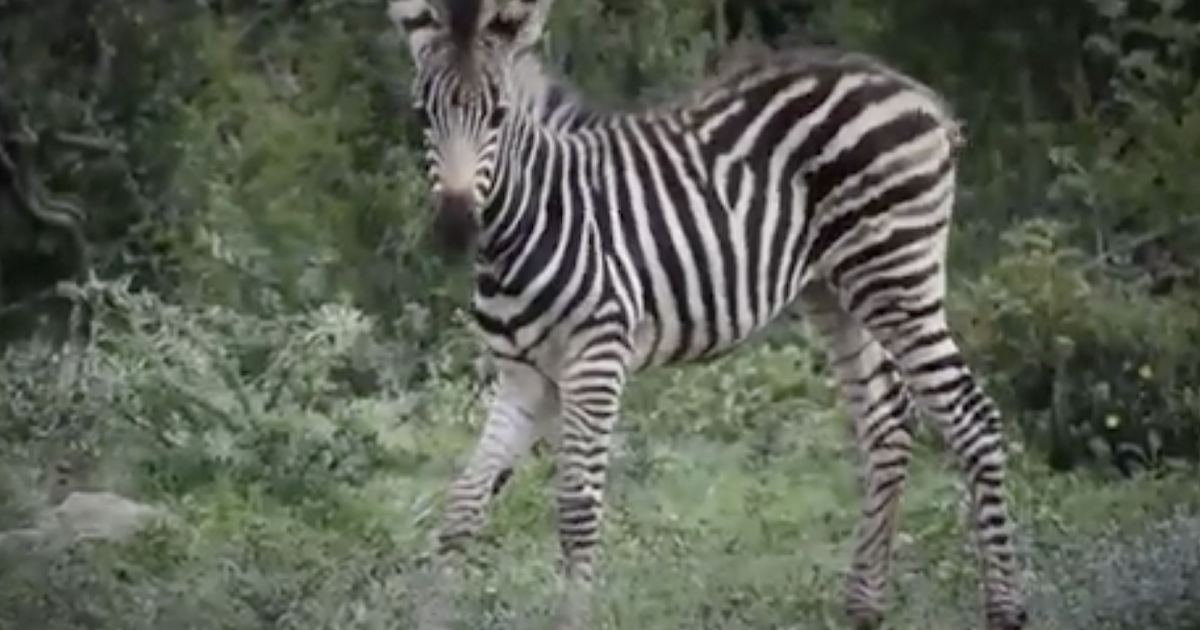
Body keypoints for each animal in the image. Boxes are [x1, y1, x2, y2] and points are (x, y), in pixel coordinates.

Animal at [386, 0, 1028, 629]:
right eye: (422, 116)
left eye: (497, 116)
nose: (455, 228)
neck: (535, 215)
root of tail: (914, 93)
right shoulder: (524, 376)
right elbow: (463, 504)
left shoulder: (596, 357)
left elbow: (576, 511)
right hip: (835, 288)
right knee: (886, 418)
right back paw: (863, 608)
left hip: (897, 274)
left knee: (972, 417)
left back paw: (1004, 607)